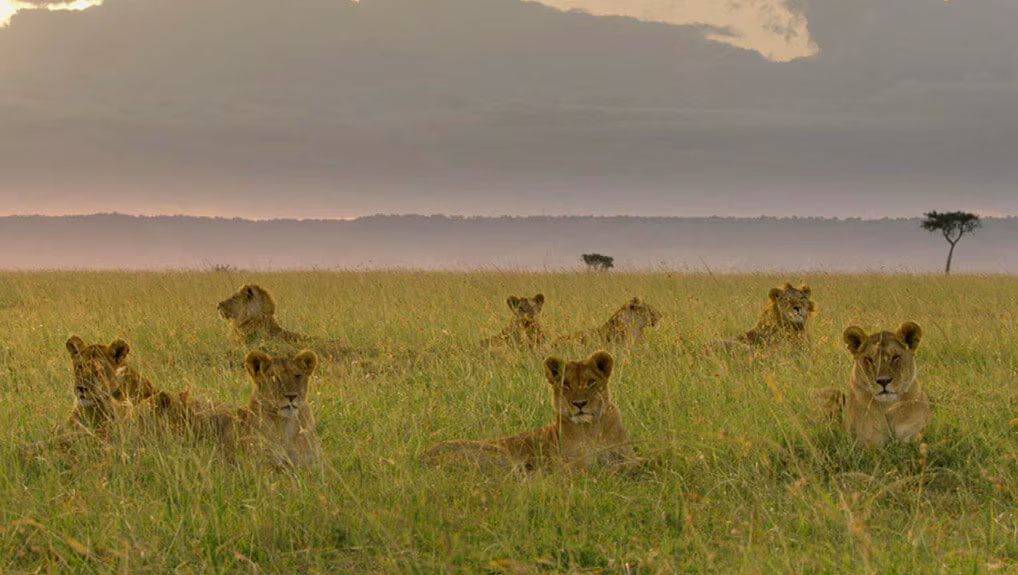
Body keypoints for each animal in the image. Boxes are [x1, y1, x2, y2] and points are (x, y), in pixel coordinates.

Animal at [425, 350, 639, 474]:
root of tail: (422, 457)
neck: (593, 428)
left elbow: (634, 460)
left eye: (591, 382)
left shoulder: (625, 453)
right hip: (499, 456)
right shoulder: (572, 464)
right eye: (566, 385)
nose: (579, 404)